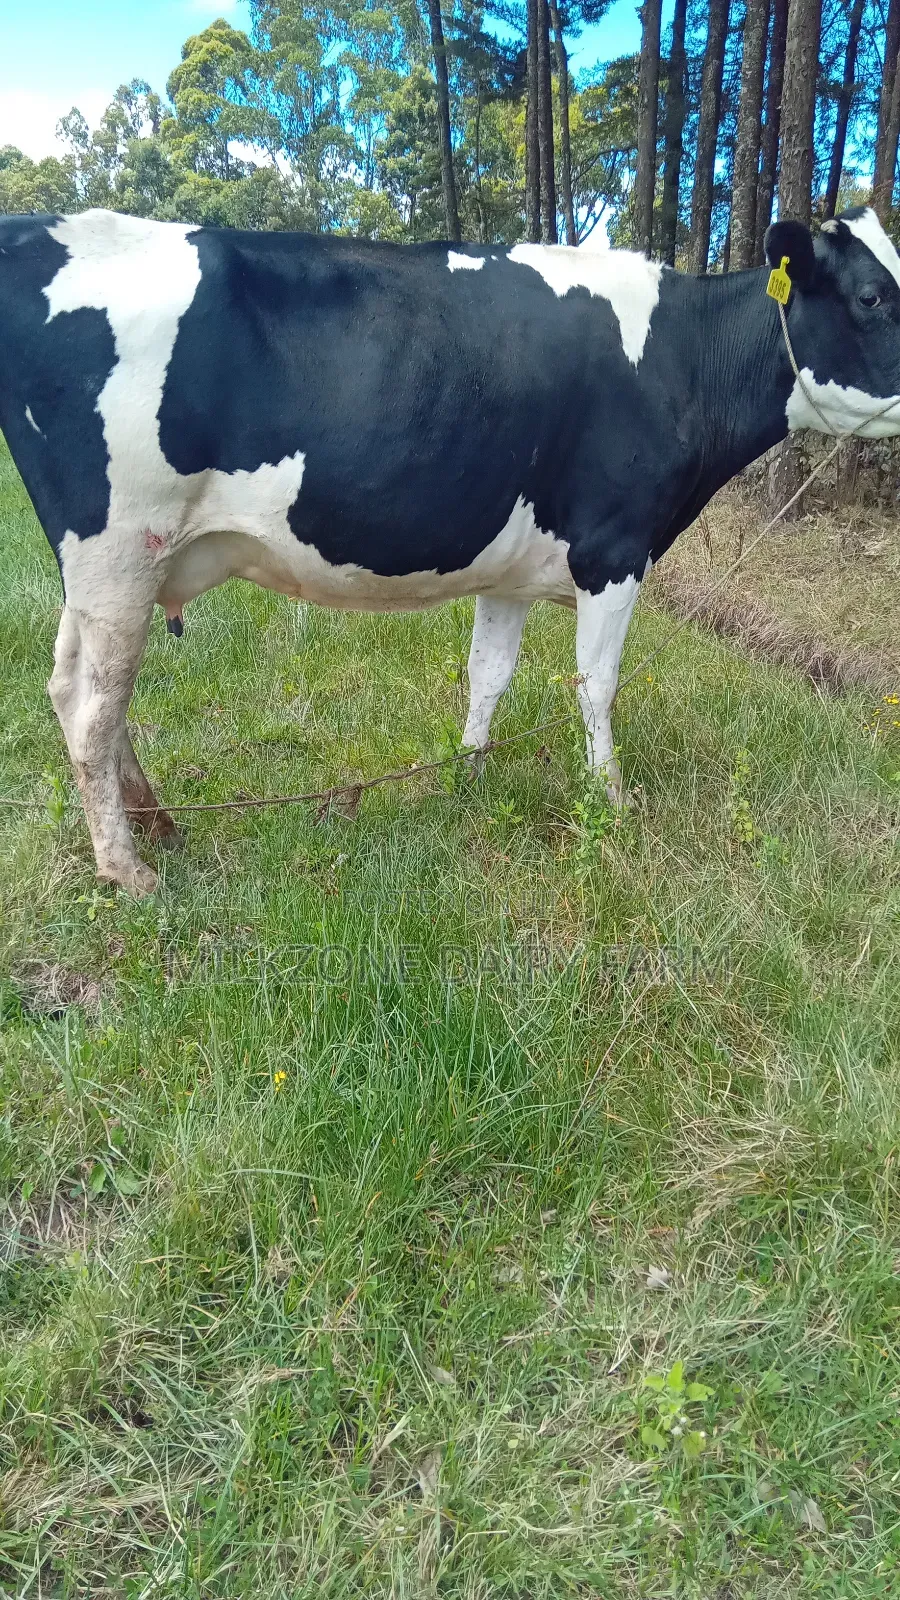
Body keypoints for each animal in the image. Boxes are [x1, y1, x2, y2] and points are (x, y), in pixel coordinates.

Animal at [1, 205, 900, 894]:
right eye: (869, 295)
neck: (679, 355)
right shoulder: (613, 549)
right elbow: (597, 684)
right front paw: (610, 801)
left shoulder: (512, 566)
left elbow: (488, 674)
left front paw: (466, 777)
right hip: (120, 545)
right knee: (94, 706)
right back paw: (130, 870)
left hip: (106, 570)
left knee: (73, 688)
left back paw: (156, 823)